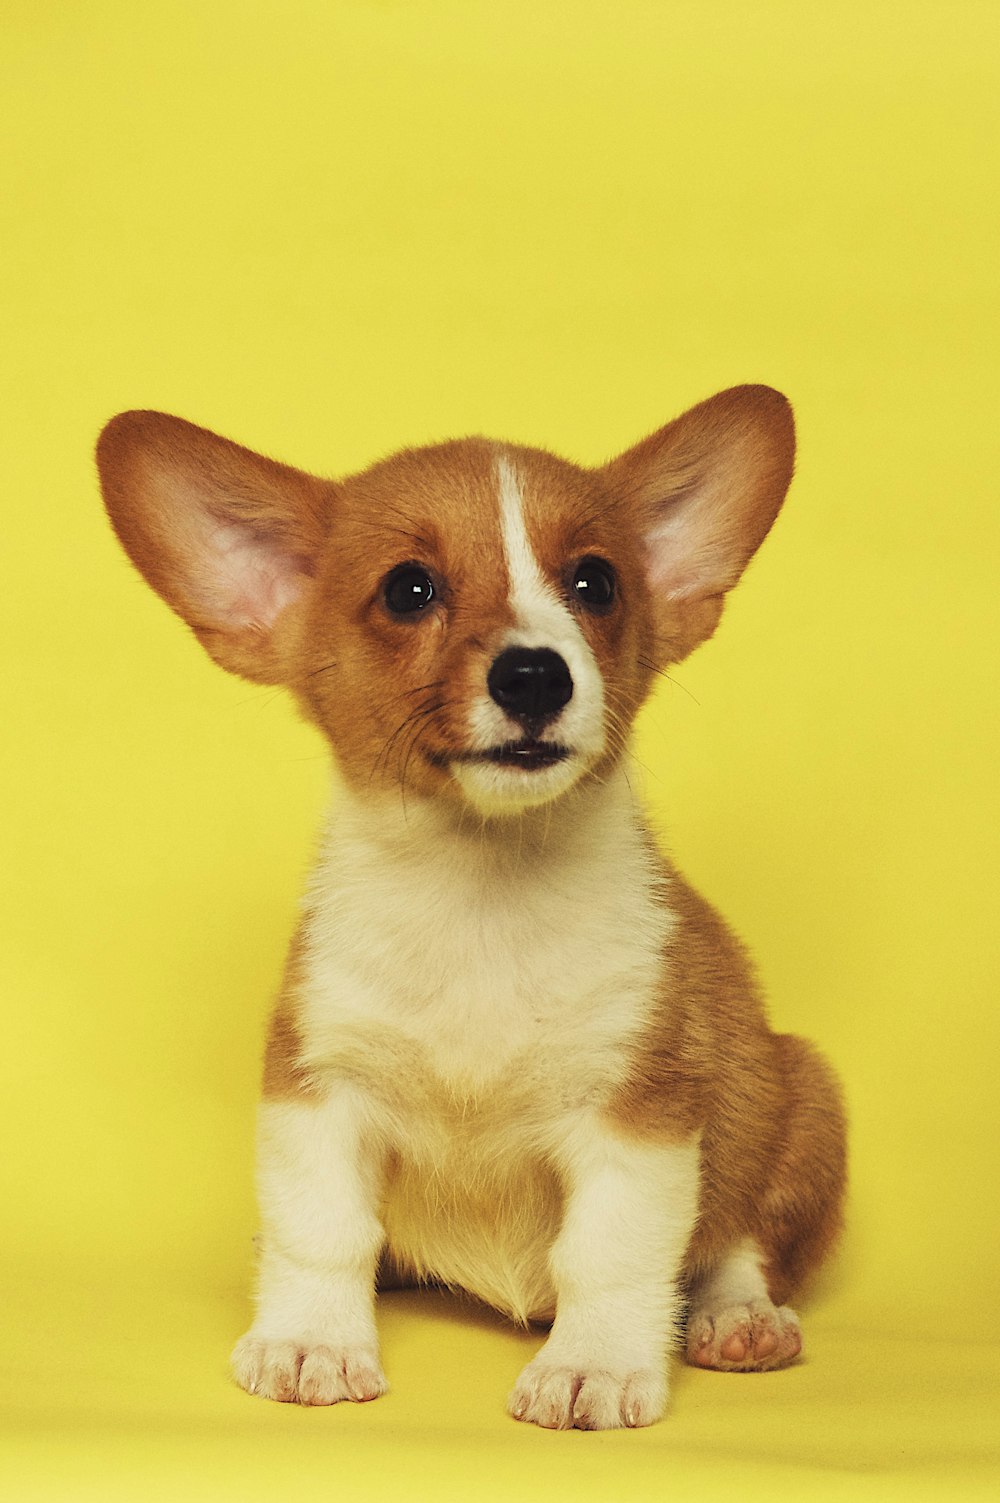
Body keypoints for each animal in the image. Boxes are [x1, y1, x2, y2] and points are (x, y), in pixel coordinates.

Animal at [95, 381, 842, 1424]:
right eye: (408, 589)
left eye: (596, 583)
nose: (535, 674)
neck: (479, 891)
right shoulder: (317, 1088)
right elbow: (320, 1230)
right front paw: (310, 1340)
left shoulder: (639, 1113)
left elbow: (610, 1253)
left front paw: (596, 1364)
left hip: (800, 1096)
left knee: (737, 1242)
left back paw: (739, 1318)